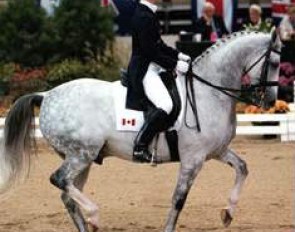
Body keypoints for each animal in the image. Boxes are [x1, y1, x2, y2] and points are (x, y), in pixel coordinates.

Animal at [0, 29, 282, 231]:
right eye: (276, 62)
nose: (269, 101)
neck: (209, 91)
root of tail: (46, 95)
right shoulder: (193, 159)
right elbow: (178, 199)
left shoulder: (216, 151)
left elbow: (242, 168)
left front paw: (228, 213)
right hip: (81, 154)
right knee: (59, 180)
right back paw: (95, 215)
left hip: (83, 158)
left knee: (68, 194)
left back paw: (89, 222)